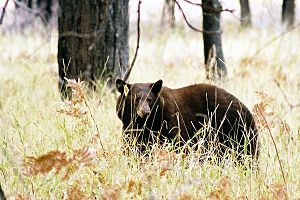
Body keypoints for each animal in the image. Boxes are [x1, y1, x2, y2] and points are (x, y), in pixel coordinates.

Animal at [115, 79, 258, 160]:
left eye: (150, 99)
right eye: (137, 98)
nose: (145, 112)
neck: (147, 123)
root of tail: (245, 108)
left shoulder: (170, 121)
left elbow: (177, 143)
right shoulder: (131, 129)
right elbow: (134, 148)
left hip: (234, 130)